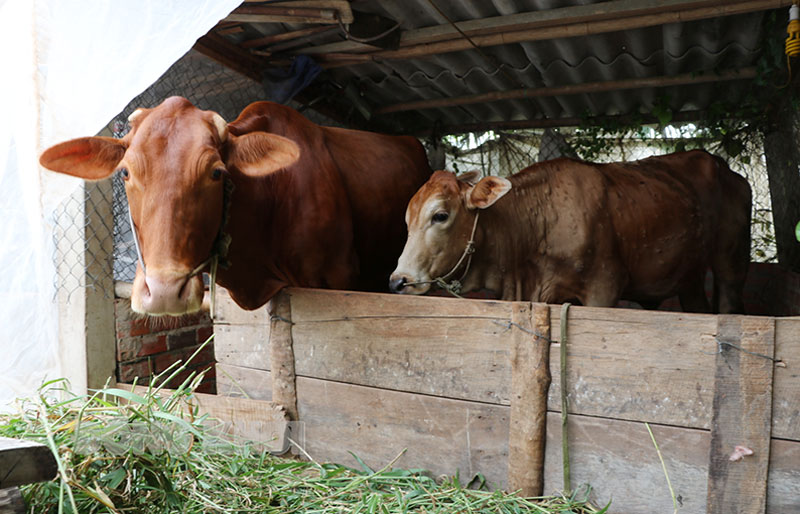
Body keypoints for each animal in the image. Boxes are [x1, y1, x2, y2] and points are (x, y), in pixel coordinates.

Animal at [390, 149, 752, 312]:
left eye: (440, 215)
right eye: (406, 221)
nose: (397, 281)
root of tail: (724, 168)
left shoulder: (604, 287)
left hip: (730, 262)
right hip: (689, 275)